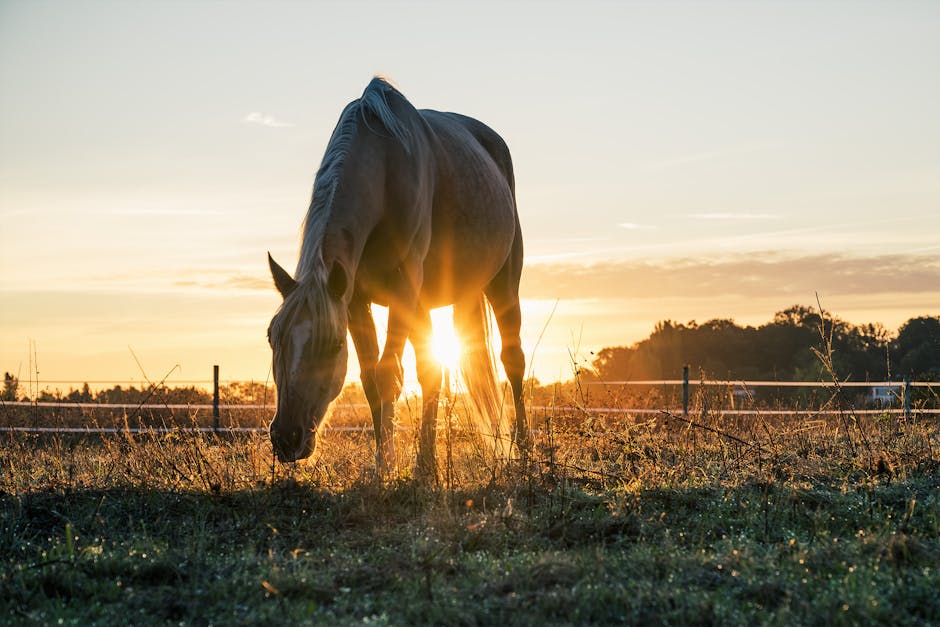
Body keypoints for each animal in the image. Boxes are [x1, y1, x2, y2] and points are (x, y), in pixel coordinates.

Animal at [268, 76, 524, 474]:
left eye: (332, 345)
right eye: (273, 338)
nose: (286, 437)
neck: (384, 170)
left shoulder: (402, 290)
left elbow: (388, 375)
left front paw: (387, 466)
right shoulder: (355, 301)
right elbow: (372, 379)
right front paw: (386, 464)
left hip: (504, 285)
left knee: (513, 362)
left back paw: (529, 453)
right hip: (429, 302)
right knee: (432, 370)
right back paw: (427, 462)